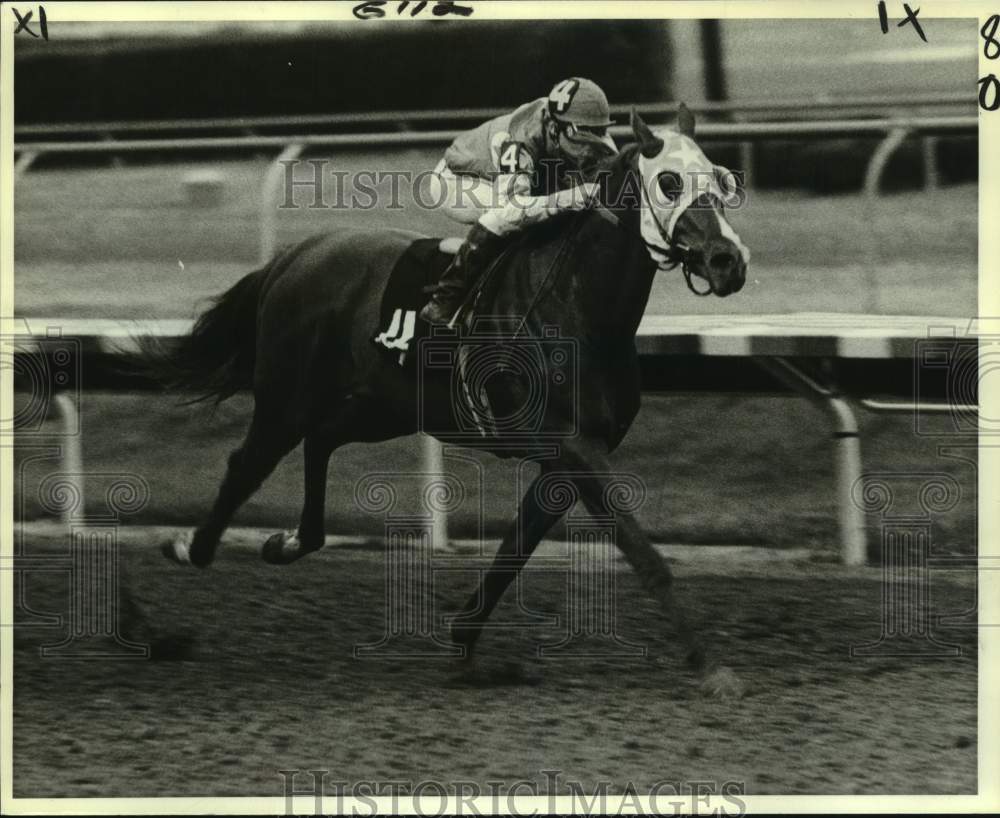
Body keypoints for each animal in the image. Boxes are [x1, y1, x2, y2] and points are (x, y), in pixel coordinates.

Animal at [150, 107, 752, 696]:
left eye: (722, 179)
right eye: (669, 182)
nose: (729, 261)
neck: (577, 309)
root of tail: (294, 255)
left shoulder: (565, 458)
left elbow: (513, 553)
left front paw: (464, 649)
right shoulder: (572, 444)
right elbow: (640, 551)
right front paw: (710, 668)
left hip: (381, 406)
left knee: (322, 439)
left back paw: (291, 541)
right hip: (286, 398)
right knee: (247, 464)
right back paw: (190, 549)